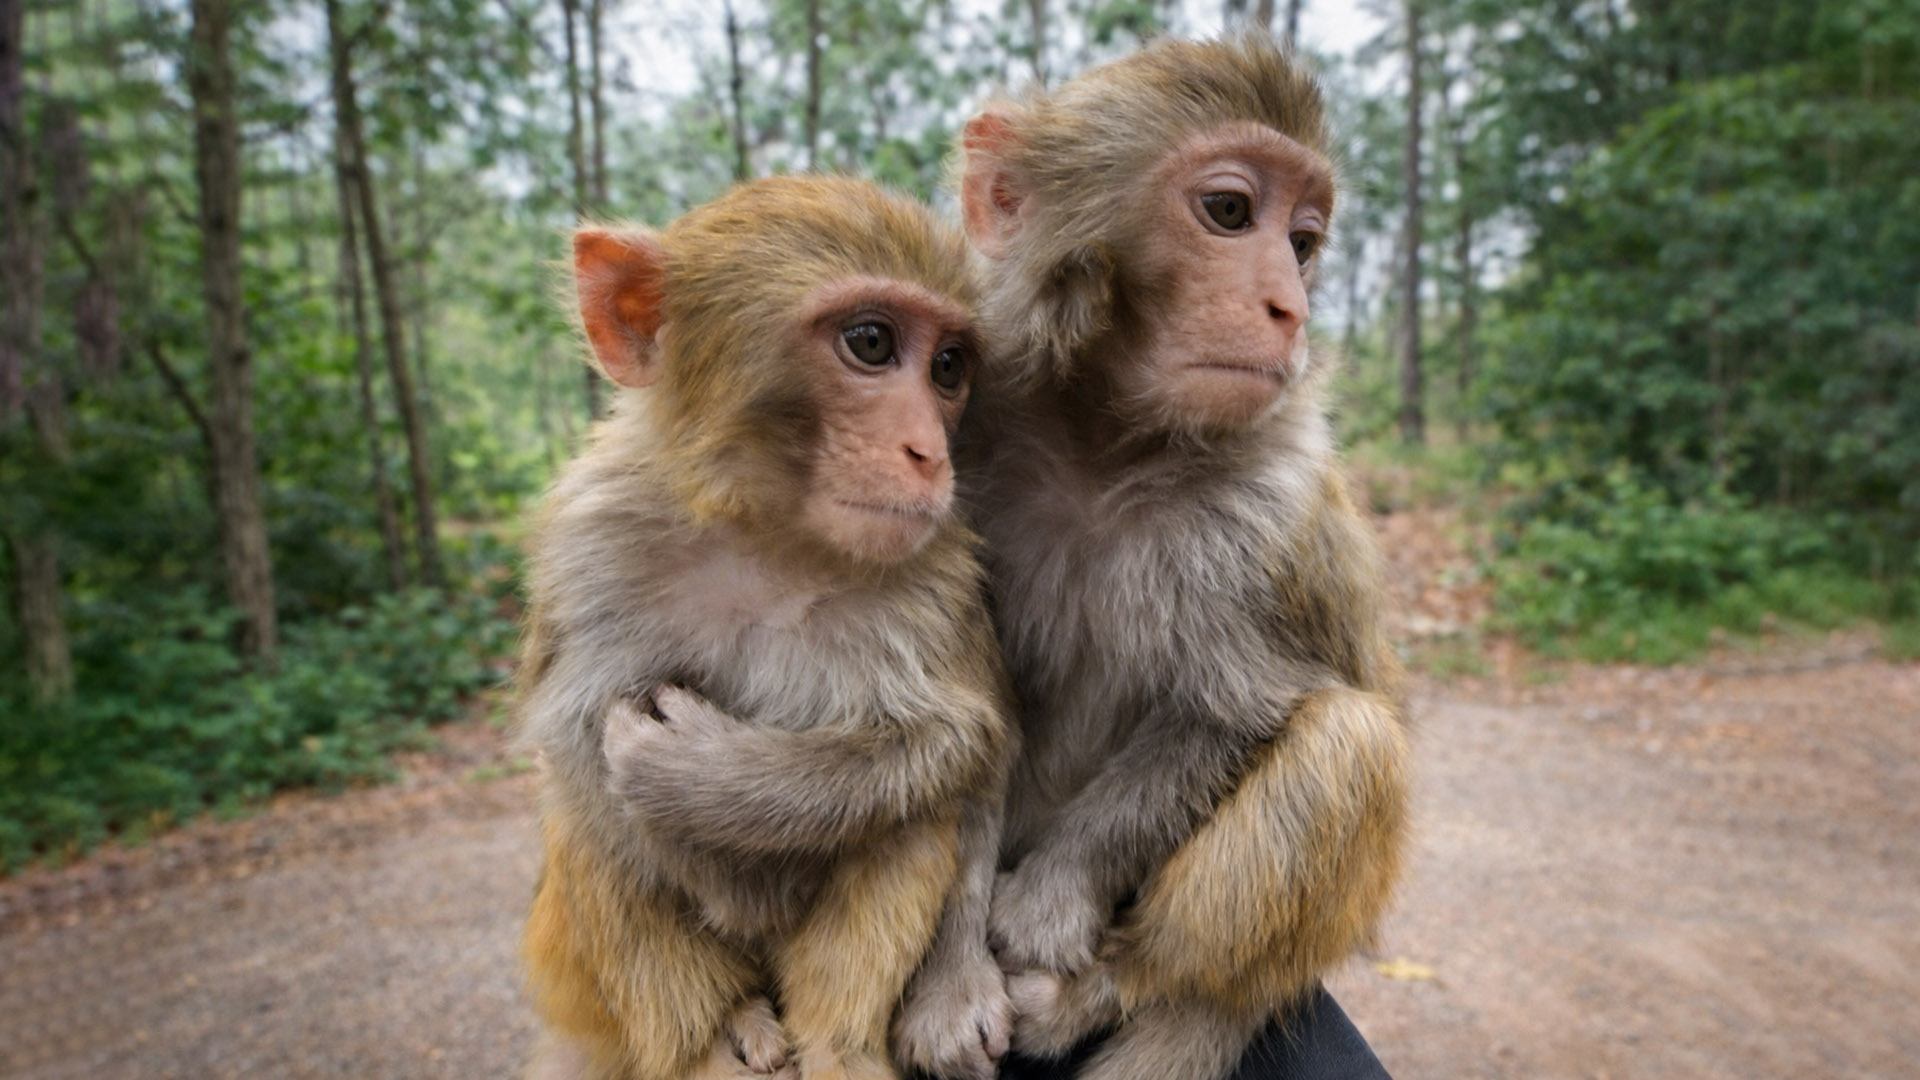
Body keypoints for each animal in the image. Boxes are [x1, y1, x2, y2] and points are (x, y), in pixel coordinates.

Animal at [515, 176, 1014, 1080]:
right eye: (870, 342)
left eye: (949, 367)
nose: (929, 453)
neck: (765, 537)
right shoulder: (590, 546)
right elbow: (576, 757)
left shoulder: (937, 573)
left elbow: (959, 742)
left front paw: (702, 778)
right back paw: (713, 1037)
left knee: (912, 816)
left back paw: (839, 1045)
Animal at [943, 34, 1412, 1080]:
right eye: (1230, 213)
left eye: (1303, 242)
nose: (1289, 306)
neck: (1107, 444)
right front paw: (944, 989)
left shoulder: (1266, 498)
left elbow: (1233, 710)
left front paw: (1050, 903)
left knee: (1350, 742)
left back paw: (1117, 989)